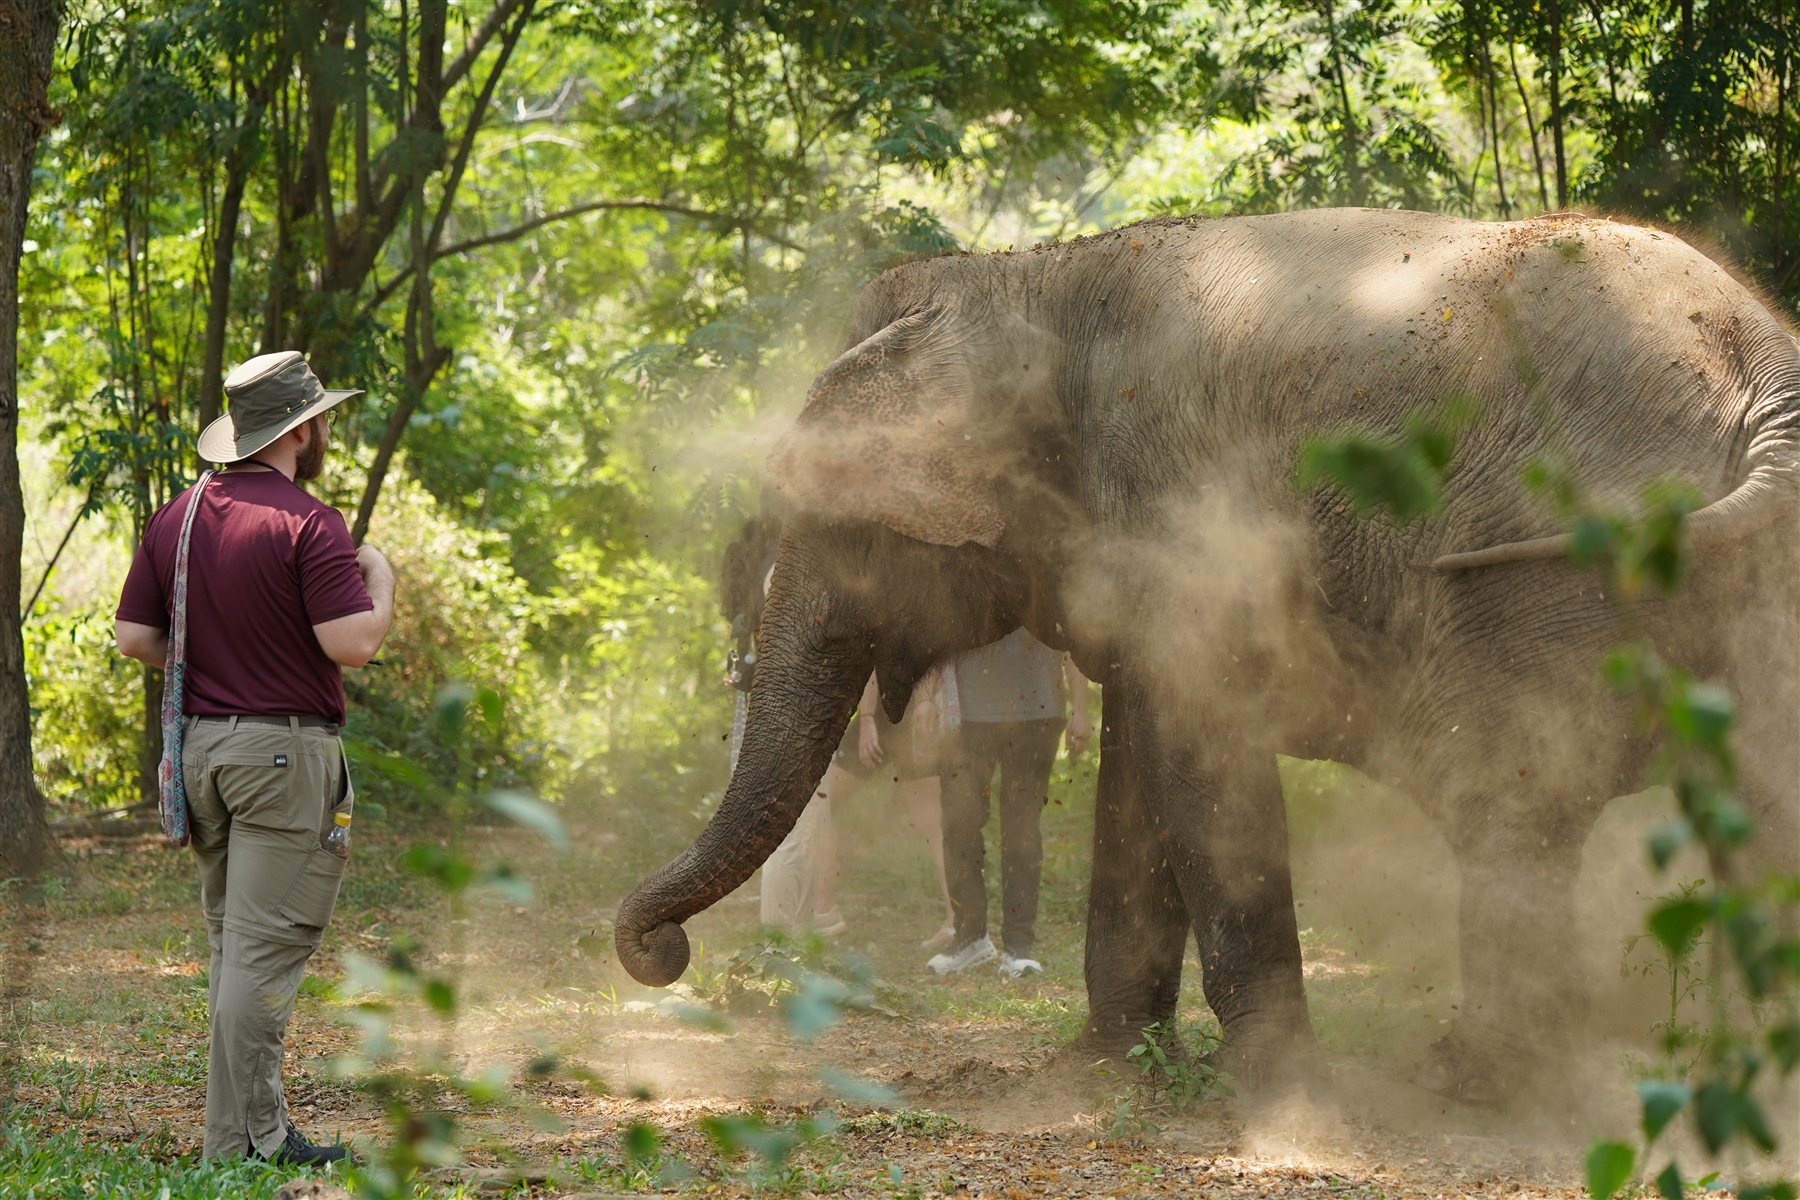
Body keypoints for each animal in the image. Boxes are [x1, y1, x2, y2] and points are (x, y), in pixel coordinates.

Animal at [616, 208, 1800, 1097]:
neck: (1027, 275)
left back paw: (1473, 1083)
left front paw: (1271, 1089)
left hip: (1548, 574)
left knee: (1512, 802)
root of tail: (1762, 364)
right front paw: (1105, 1069)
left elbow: (1202, 758)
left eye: (842, 527)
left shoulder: (1182, 515)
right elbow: (1140, 761)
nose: (659, 952)